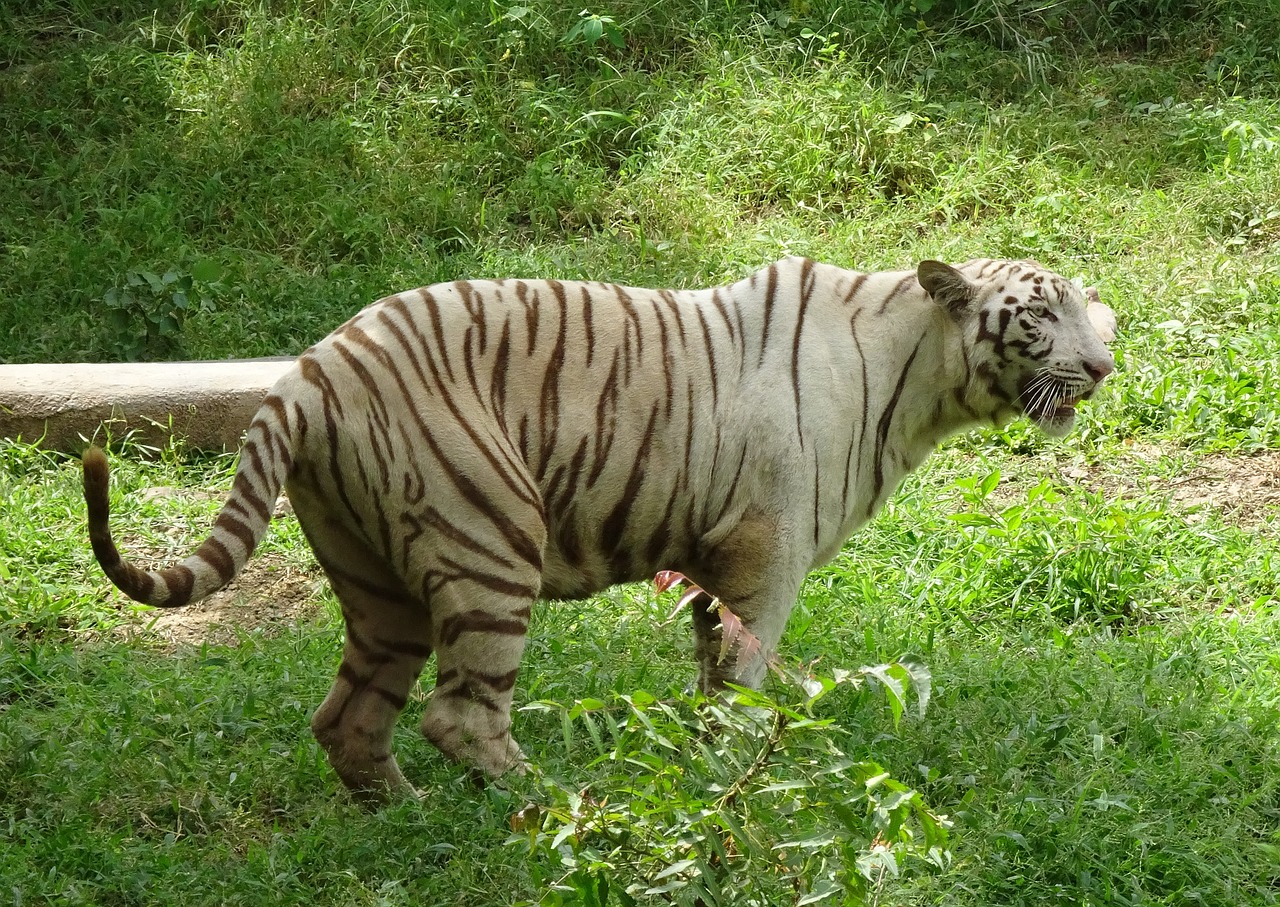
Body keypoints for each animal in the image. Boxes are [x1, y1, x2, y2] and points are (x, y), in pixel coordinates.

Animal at [85, 257, 1116, 798]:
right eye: (1039, 315)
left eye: (1089, 309)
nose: (1105, 367)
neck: (922, 379)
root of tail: (309, 370)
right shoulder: (766, 554)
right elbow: (743, 681)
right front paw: (728, 776)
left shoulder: (713, 561)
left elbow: (710, 677)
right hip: (490, 535)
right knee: (461, 715)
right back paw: (552, 806)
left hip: (377, 581)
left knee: (348, 716)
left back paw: (401, 814)